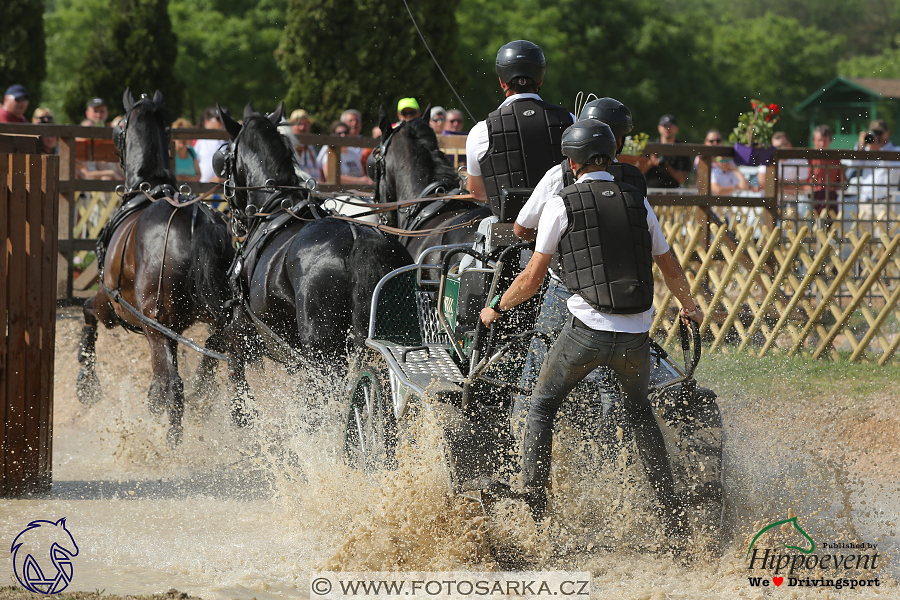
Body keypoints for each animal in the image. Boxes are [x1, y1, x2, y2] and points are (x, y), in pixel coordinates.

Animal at [76, 89, 234, 446]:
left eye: (118, 127)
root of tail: (198, 223)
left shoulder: (112, 304)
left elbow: (87, 312)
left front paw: (86, 383)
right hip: (211, 320)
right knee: (205, 369)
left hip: (154, 321)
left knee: (175, 385)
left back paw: (171, 446)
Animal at [218, 102, 414, 422]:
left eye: (225, 159)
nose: (233, 219)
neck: (275, 209)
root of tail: (358, 236)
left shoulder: (242, 334)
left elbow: (239, 389)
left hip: (322, 352)